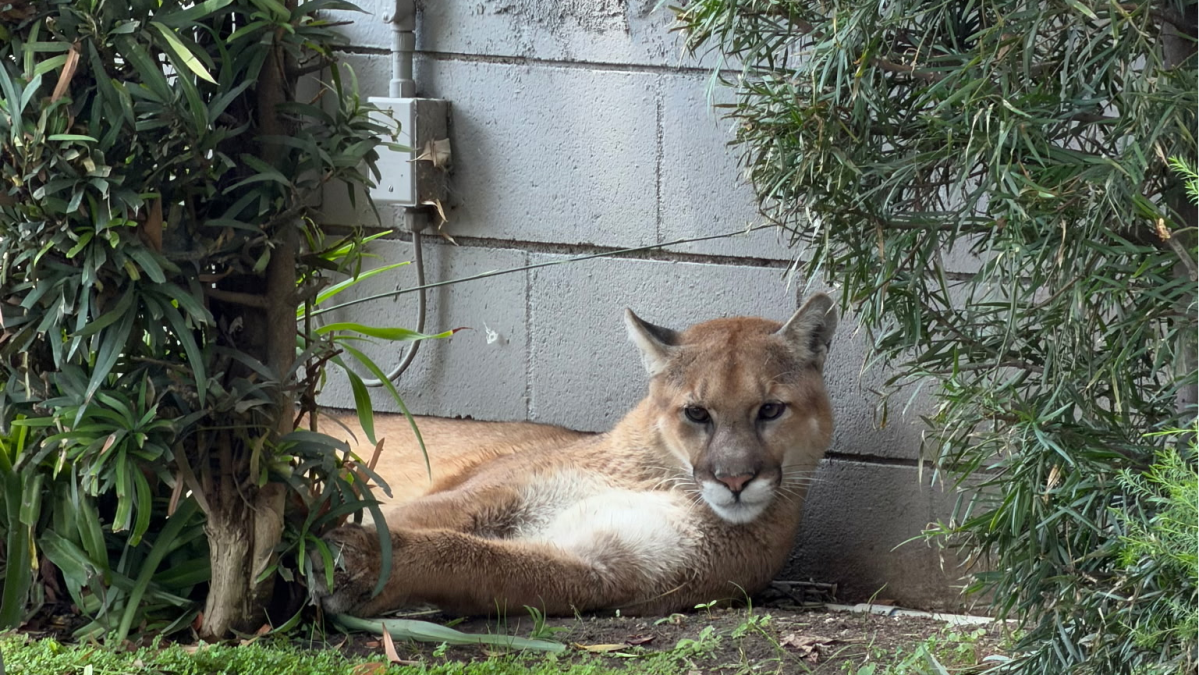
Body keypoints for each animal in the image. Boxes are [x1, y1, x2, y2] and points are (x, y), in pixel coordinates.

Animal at [314, 294, 838, 617]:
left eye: (770, 410)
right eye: (696, 412)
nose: (734, 479)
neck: (660, 478)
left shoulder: (605, 567)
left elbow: (478, 559)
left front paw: (358, 564)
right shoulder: (487, 496)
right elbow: (414, 519)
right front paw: (334, 551)